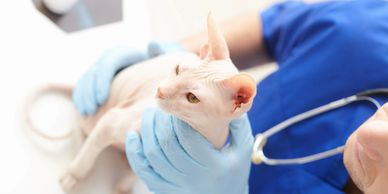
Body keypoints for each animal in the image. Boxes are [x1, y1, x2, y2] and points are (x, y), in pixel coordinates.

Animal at [23, 12, 255, 193]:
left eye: (192, 98)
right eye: (178, 69)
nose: (160, 90)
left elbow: (137, 170)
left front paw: (122, 188)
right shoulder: (111, 122)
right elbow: (87, 156)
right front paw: (74, 175)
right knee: (82, 129)